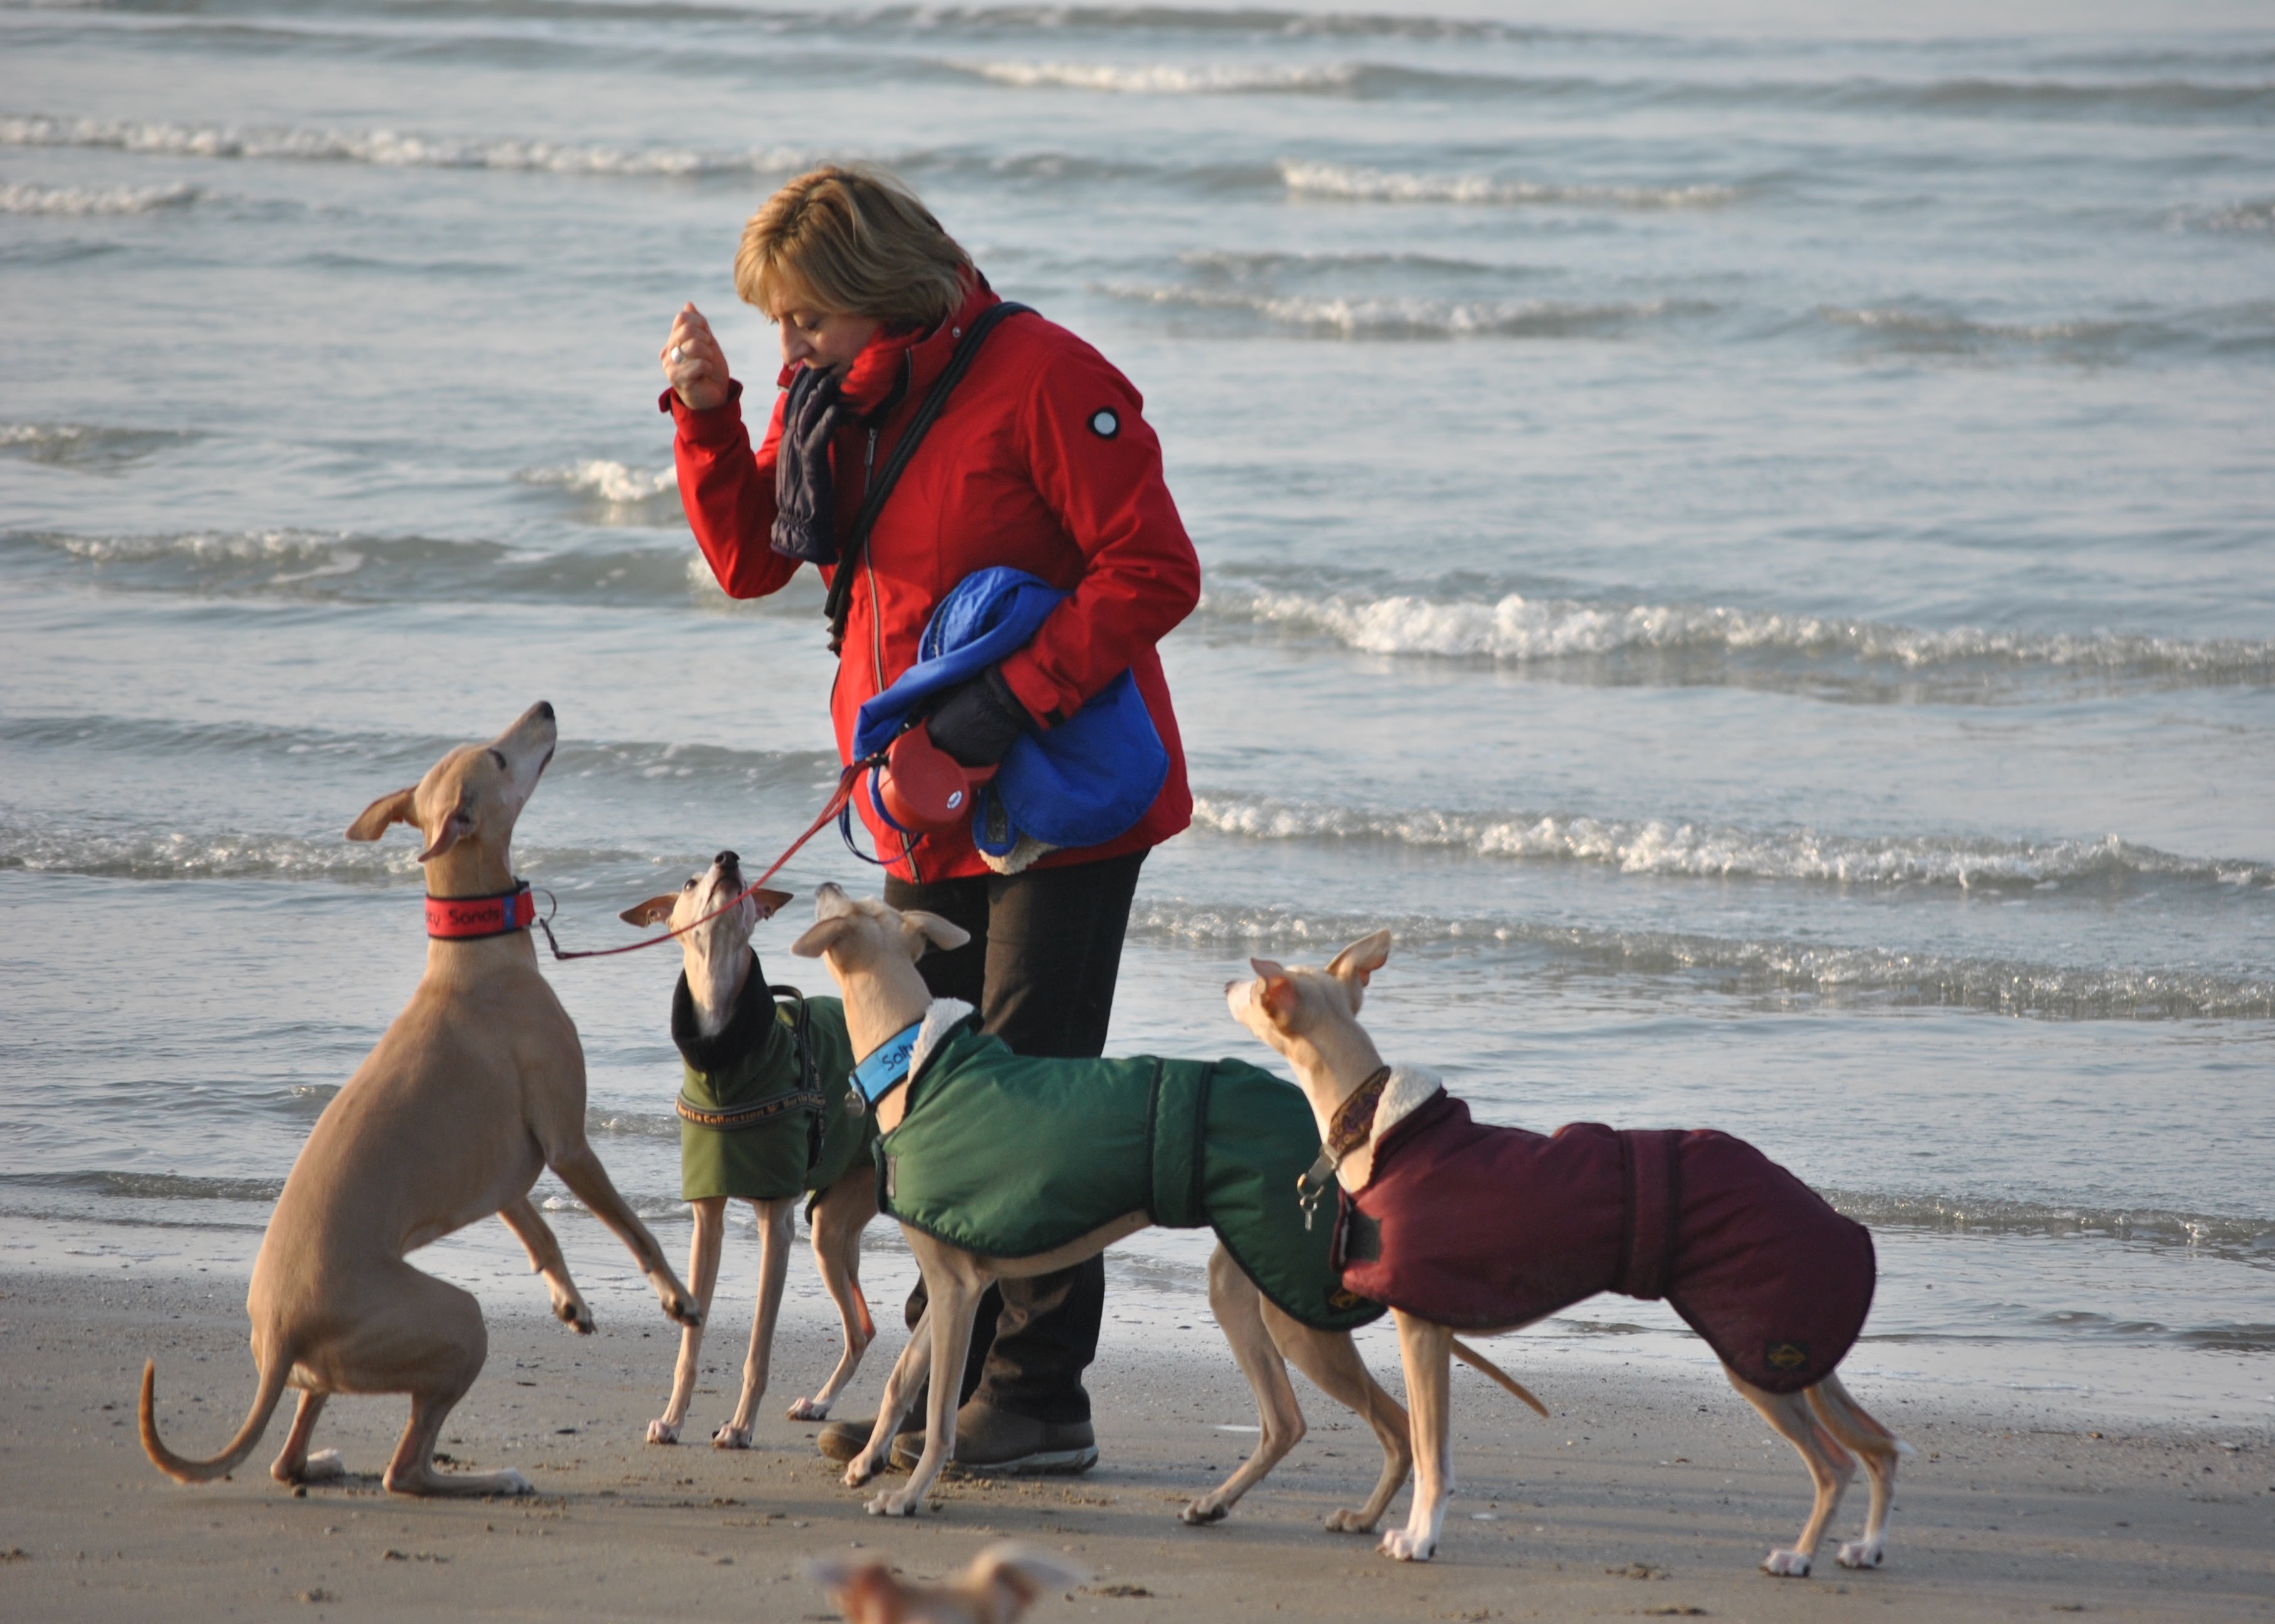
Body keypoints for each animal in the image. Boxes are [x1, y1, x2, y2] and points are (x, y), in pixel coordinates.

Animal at [138, 703, 702, 1496]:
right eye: (497, 758)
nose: (546, 708)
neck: (474, 952)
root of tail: (279, 1338)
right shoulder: (567, 1143)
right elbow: (634, 1229)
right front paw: (676, 1296)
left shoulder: (504, 1168)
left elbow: (539, 1231)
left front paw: (569, 1299)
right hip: (458, 1320)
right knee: (404, 1470)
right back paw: (491, 1478)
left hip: (338, 1364)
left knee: (290, 1454)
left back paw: (320, 1459)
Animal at [617, 852, 881, 1447]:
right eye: (690, 882)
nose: (728, 860)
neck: (722, 1054)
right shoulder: (707, 1220)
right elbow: (690, 1341)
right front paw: (673, 1419)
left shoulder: (775, 1223)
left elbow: (759, 1347)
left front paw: (739, 1427)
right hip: (833, 1224)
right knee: (863, 1327)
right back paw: (821, 1404)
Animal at [791, 882, 1541, 1527]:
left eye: (843, 903)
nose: (823, 880)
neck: (916, 1060)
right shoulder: (960, 1283)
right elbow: (902, 1380)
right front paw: (867, 1459)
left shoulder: (955, 1289)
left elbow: (943, 1413)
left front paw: (907, 1493)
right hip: (1240, 1288)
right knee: (1289, 1420)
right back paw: (1221, 1503)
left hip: (1297, 1313)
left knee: (1395, 1425)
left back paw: (1363, 1519)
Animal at [1227, 930, 1905, 1575]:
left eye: (1261, 987)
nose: (1230, 980)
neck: (1374, 1120)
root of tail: (1826, 1212)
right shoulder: (1437, 1332)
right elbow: (1430, 1447)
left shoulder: (1421, 1329)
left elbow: (1429, 1453)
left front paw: (1418, 1539)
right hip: (1794, 1349)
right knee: (1882, 1447)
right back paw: (1868, 1546)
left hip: (1759, 1352)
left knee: (1837, 1463)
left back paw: (1800, 1556)